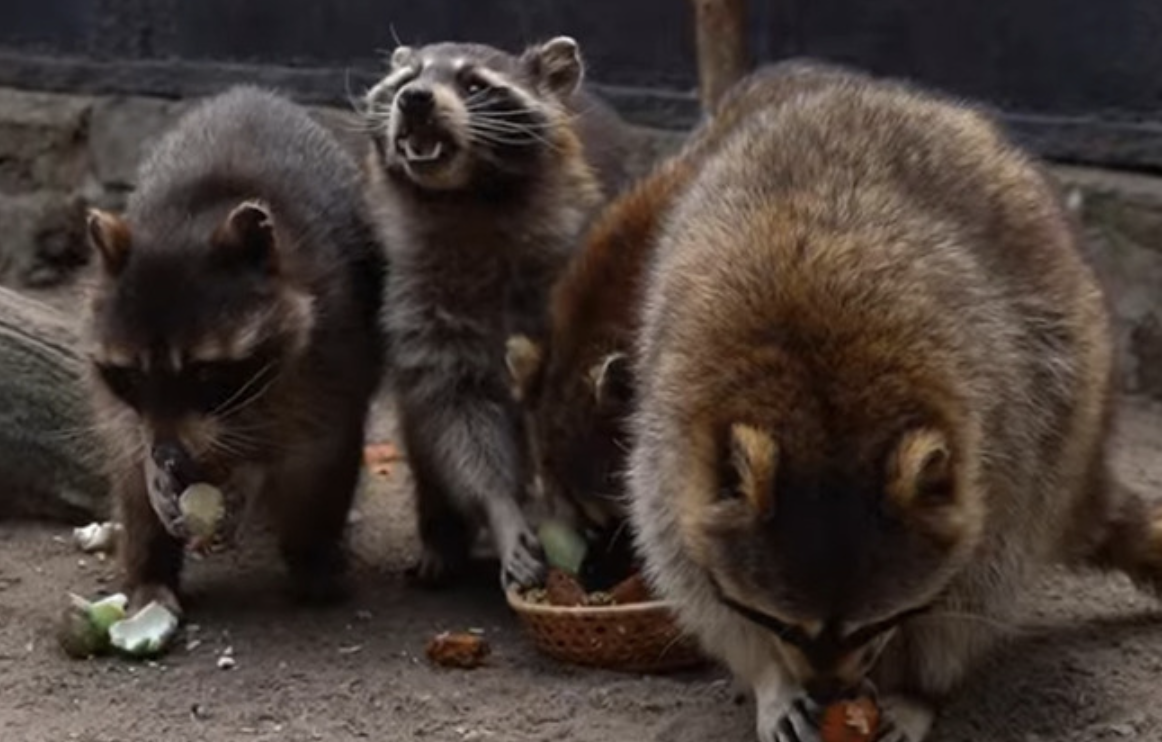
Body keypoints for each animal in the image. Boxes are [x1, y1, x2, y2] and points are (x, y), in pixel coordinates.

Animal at [84, 85, 390, 613]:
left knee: (317, 479)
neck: (189, 216)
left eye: (205, 372)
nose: (169, 456)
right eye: (135, 375)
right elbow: (127, 438)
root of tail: (251, 92)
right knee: (130, 490)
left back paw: (312, 557)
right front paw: (151, 473)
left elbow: (308, 444)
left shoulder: (332, 346)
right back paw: (151, 569)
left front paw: (251, 476)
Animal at [362, 36, 636, 592]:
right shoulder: (419, 298)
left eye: (473, 84)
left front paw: (561, 506)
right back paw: (440, 535)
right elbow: (458, 412)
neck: (466, 200)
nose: (414, 99)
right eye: (408, 78)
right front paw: (502, 509)